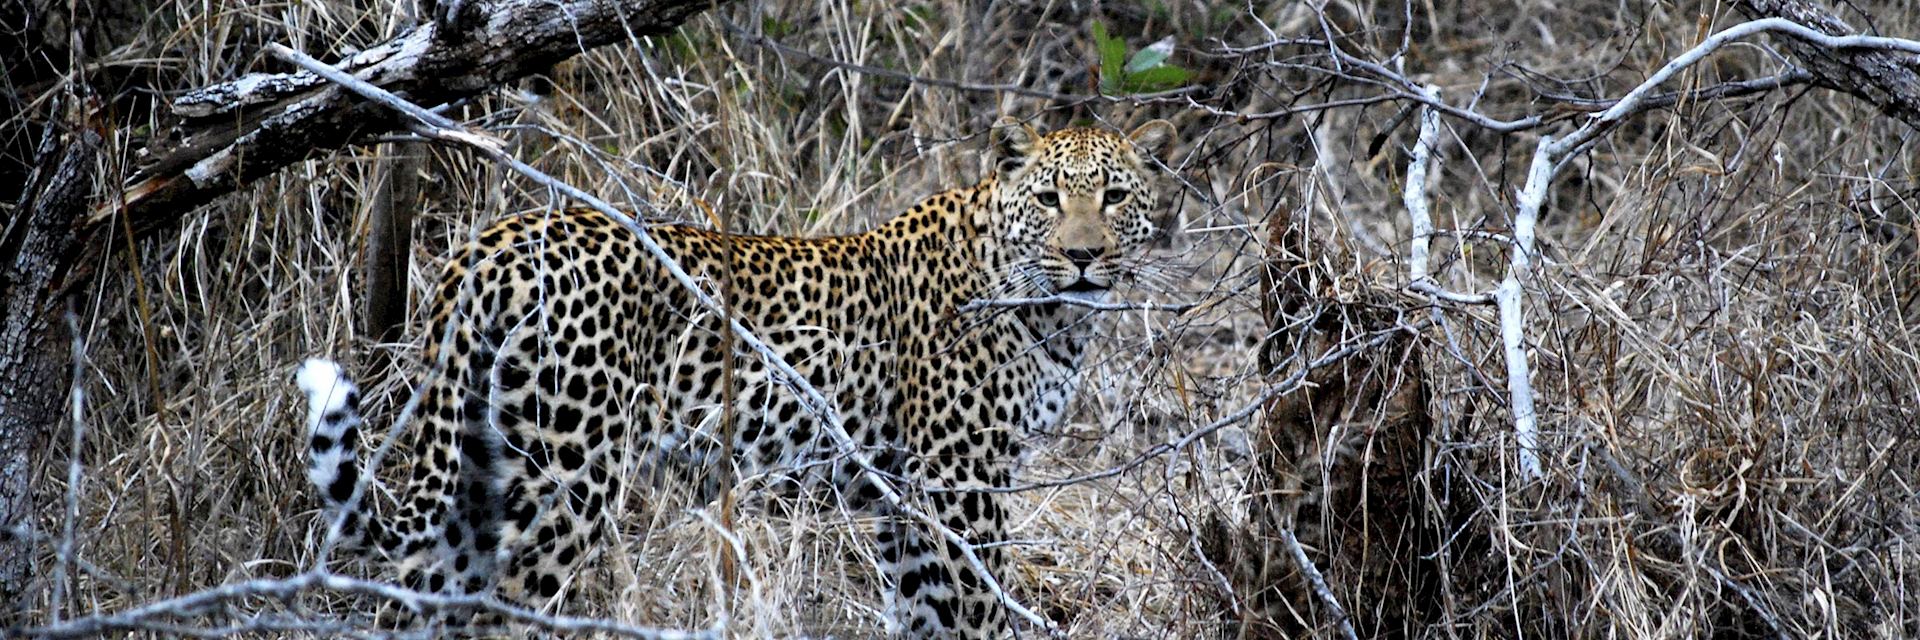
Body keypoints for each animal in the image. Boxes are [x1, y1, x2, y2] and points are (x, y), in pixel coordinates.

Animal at [291, 117, 1175, 634]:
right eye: (1051, 198)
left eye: (1116, 195)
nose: (1085, 257)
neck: (1049, 307)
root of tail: (496, 241)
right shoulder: (959, 483)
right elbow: (979, 611)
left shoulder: (903, 499)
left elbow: (924, 615)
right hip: (563, 478)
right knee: (501, 609)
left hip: (482, 460)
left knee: (422, 595)